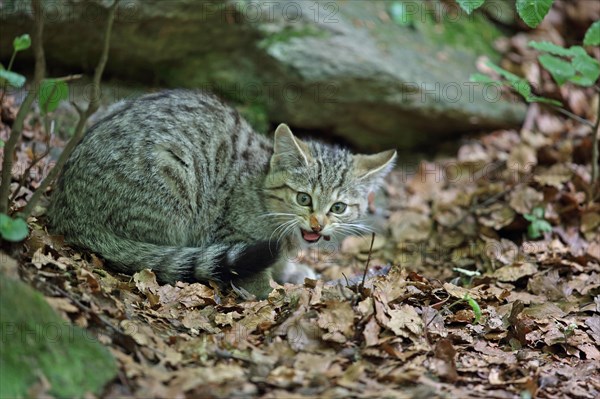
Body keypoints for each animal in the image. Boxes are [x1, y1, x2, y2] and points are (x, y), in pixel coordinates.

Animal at [48, 90, 398, 296]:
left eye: (339, 207)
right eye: (304, 198)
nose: (317, 224)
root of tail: (67, 207)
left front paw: (292, 272)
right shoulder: (230, 232)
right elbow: (256, 276)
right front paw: (274, 291)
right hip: (173, 181)